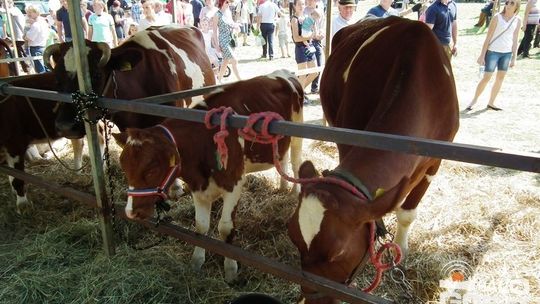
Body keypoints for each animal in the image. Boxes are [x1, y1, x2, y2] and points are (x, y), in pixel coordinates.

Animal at [0, 72, 84, 213]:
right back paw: (77, 172)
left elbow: (17, 177)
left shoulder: (15, 142)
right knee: (78, 144)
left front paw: (22, 204)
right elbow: (11, 174)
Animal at [112, 70, 304, 282]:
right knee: (282, 158)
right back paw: (282, 188)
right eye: (124, 167)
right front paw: (197, 262)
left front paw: (230, 270)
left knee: (296, 162)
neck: (203, 142)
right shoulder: (197, 186)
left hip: (297, 132)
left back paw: (294, 192)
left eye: (152, 169)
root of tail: (282, 73)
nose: (130, 212)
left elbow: (225, 228)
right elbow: (201, 226)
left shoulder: (234, 183)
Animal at [286, 17, 460, 304]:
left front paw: (400, 249)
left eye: (337, 253)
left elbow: (407, 213)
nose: (313, 299)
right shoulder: (347, 138)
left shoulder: (435, 161)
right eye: (292, 236)